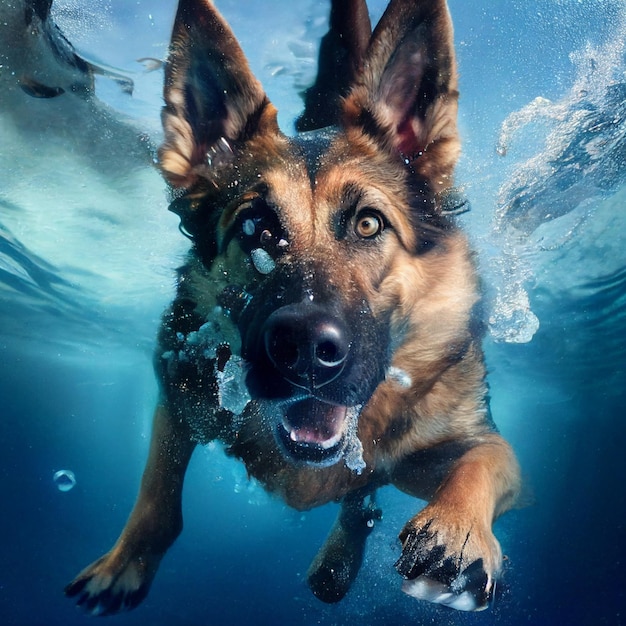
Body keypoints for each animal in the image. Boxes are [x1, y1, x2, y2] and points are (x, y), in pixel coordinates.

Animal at [66, 0, 520, 616]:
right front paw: (124, 564)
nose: (305, 349)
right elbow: (158, 495)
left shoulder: (465, 443)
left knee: (362, 501)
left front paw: (460, 529)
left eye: (368, 224)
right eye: (255, 228)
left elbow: (485, 461)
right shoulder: (180, 395)